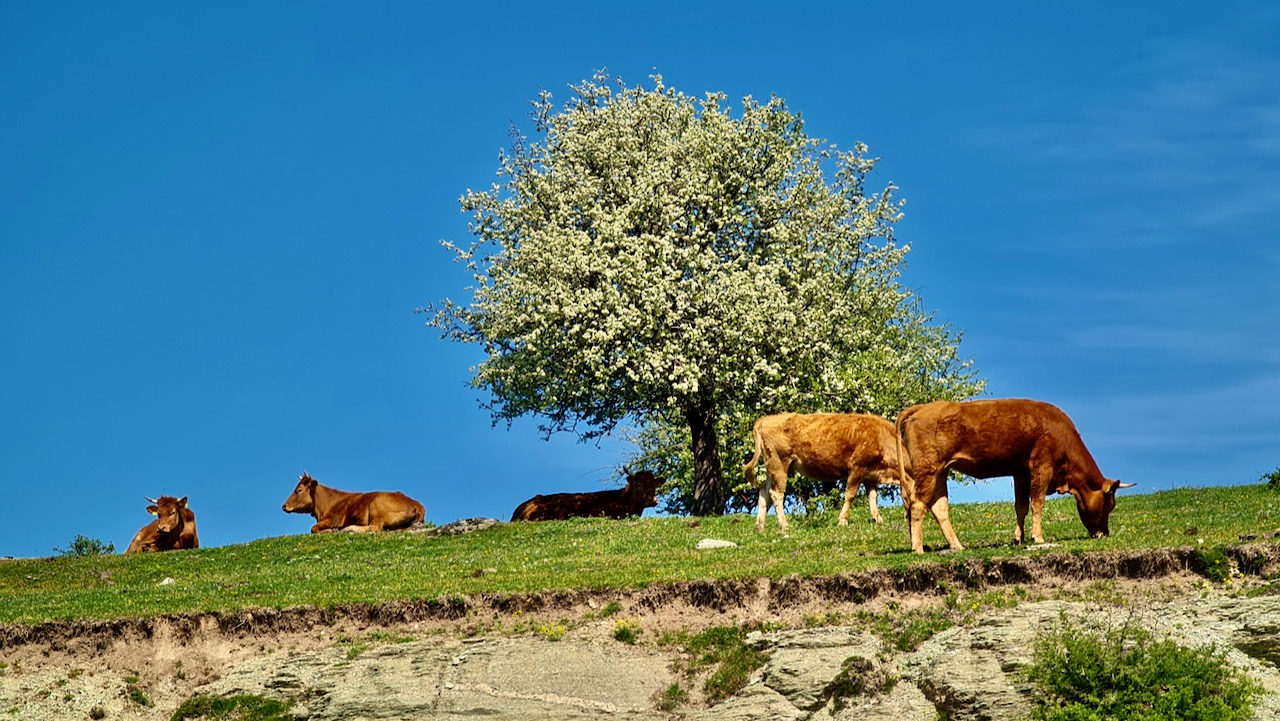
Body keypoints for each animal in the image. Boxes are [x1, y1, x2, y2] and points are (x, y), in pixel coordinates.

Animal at [280, 471, 424, 532]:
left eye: (299, 490)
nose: (284, 506)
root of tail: (418, 505)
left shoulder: (334, 519)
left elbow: (313, 528)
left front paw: (332, 531)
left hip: (376, 505)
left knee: (375, 527)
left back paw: (349, 528)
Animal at [742, 412, 911, 535]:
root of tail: (766, 419)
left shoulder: (870, 474)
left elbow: (872, 496)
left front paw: (878, 518)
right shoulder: (857, 467)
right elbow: (850, 495)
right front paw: (843, 520)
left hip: (771, 467)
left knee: (764, 493)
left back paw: (760, 526)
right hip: (779, 463)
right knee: (776, 494)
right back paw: (784, 525)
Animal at [896, 396, 1136, 555]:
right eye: (1110, 505)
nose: (1104, 533)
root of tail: (922, 408)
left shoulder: (1020, 473)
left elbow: (1021, 506)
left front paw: (1018, 538)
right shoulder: (1042, 466)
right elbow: (1037, 503)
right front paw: (1037, 537)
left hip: (940, 472)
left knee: (939, 507)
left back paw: (957, 546)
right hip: (928, 470)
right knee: (917, 505)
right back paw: (918, 548)